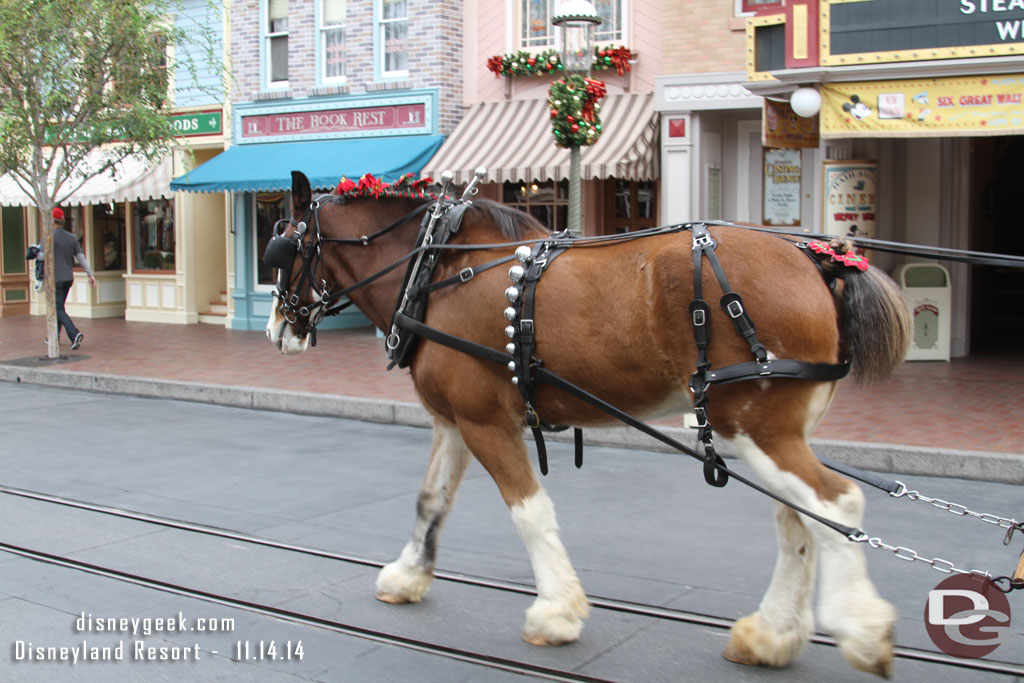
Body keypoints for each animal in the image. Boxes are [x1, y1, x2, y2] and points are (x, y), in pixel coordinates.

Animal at [268, 172, 909, 679]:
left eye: (280, 247)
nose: (276, 329)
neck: (436, 270)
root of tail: (818, 260)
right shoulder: (454, 420)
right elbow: (431, 500)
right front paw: (406, 576)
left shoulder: (485, 421)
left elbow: (529, 512)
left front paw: (556, 612)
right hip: (772, 434)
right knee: (798, 519)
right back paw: (772, 636)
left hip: (754, 428)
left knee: (835, 503)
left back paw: (859, 628)